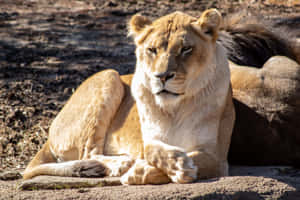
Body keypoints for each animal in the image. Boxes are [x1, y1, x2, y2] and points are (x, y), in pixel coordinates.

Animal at [23, 9, 236, 184]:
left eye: (186, 49)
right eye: (152, 50)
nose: (161, 76)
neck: (175, 108)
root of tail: (49, 134)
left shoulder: (217, 157)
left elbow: (197, 159)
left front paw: (145, 172)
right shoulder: (148, 139)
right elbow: (151, 150)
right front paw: (168, 165)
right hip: (109, 75)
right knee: (88, 153)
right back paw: (118, 164)